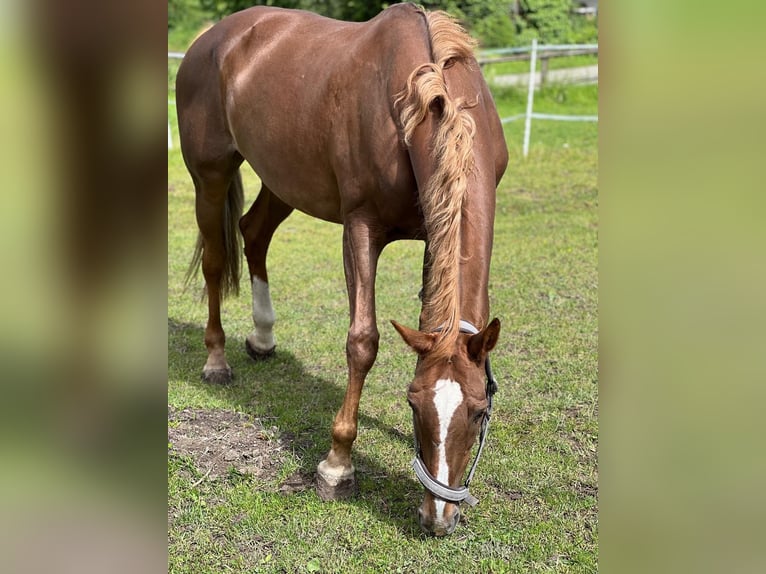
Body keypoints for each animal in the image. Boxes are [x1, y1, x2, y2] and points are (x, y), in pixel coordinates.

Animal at [176, 3, 508, 540]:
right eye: (413, 402)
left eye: (479, 412)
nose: (438, 517)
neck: (417, 97)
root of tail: (215, 37)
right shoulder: (361, 227)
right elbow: (363, 341)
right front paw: (337, 465)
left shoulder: (434, 232)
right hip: (210, 175)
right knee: (214, 260)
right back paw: (216, 360)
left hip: (283, 180)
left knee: (254, 233)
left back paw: (263, 338)